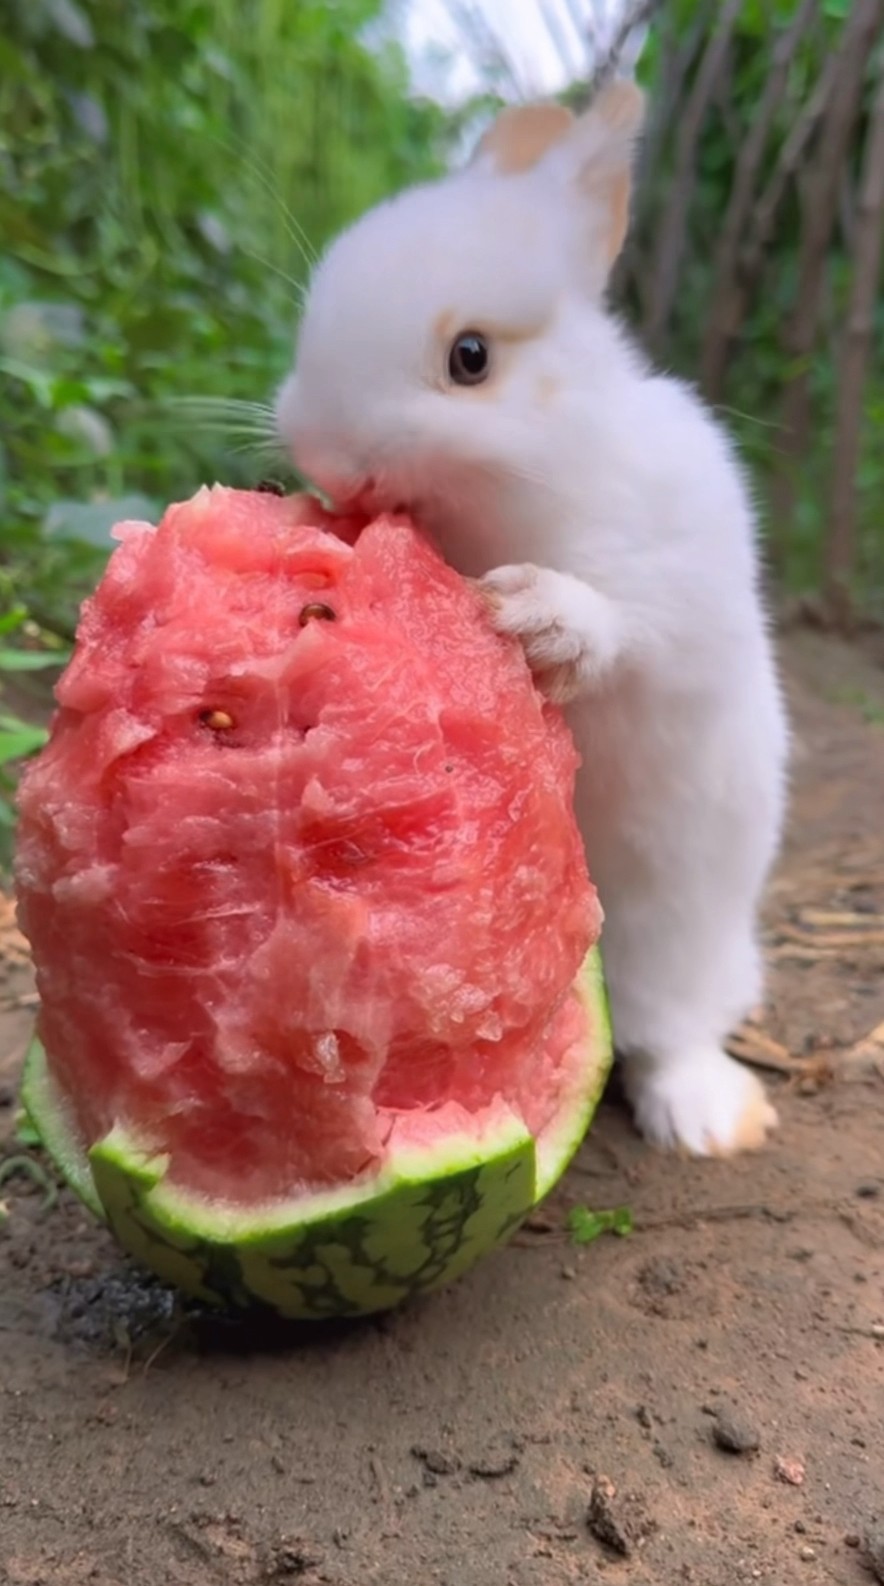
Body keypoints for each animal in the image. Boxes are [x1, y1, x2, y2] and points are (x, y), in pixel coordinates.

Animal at [275, 81, 789, 1157]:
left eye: (470, 358)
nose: (331, 462)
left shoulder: (684, 580)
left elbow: (633, 628)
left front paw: (537, 617)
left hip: (682, 935)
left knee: (670, 1033)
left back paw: (704, 1119)